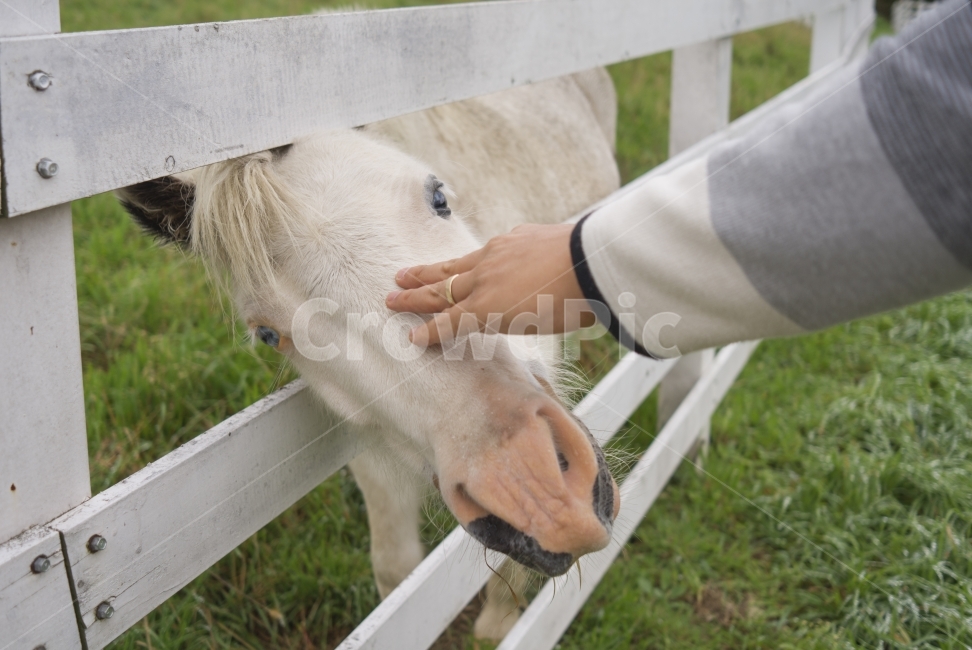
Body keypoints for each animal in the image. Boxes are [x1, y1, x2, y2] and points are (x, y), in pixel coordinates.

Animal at [117, 67, 621, 640]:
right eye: (268, 333)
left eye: (438, 197)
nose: (537, 489)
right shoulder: (374, 451)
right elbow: (395, 571)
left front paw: (497, 624)